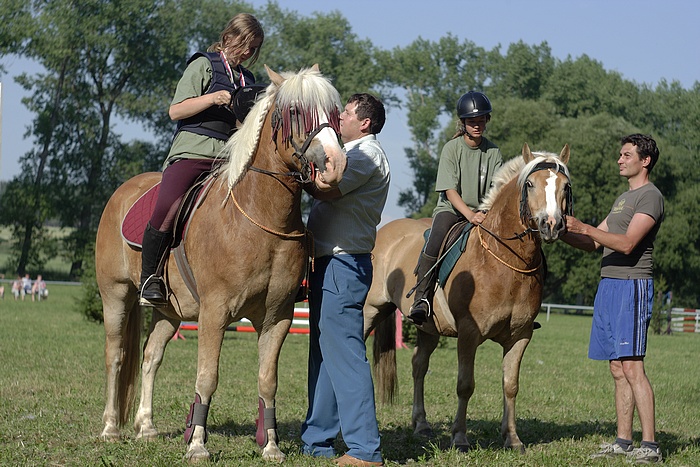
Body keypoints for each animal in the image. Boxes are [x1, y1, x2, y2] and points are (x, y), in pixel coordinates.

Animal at [97, 64, 348, 462]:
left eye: (335, 113)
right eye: (295, 112)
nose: (336, 164)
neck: (260, 217)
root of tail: (122, 192)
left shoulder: (277, 317)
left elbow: (267, 381)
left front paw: (271, 447)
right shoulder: (214, 313)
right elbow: (207, 376)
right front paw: (198, 445)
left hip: (169, 311)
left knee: (151, 356)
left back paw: (146, 427)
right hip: (115, 296)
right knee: (116, 356)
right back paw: (109, 429)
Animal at [364, 145, 572, 454]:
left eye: (565, 186)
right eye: (530, 184)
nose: (551, 225)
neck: (506, 260)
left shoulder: (520, 336)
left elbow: (510, 385)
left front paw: (512, 438)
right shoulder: (469, 333)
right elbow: (465, 385)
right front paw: (460, 438)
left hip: (428, 328)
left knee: (418, 365)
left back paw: (421, 424)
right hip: (370, 310)